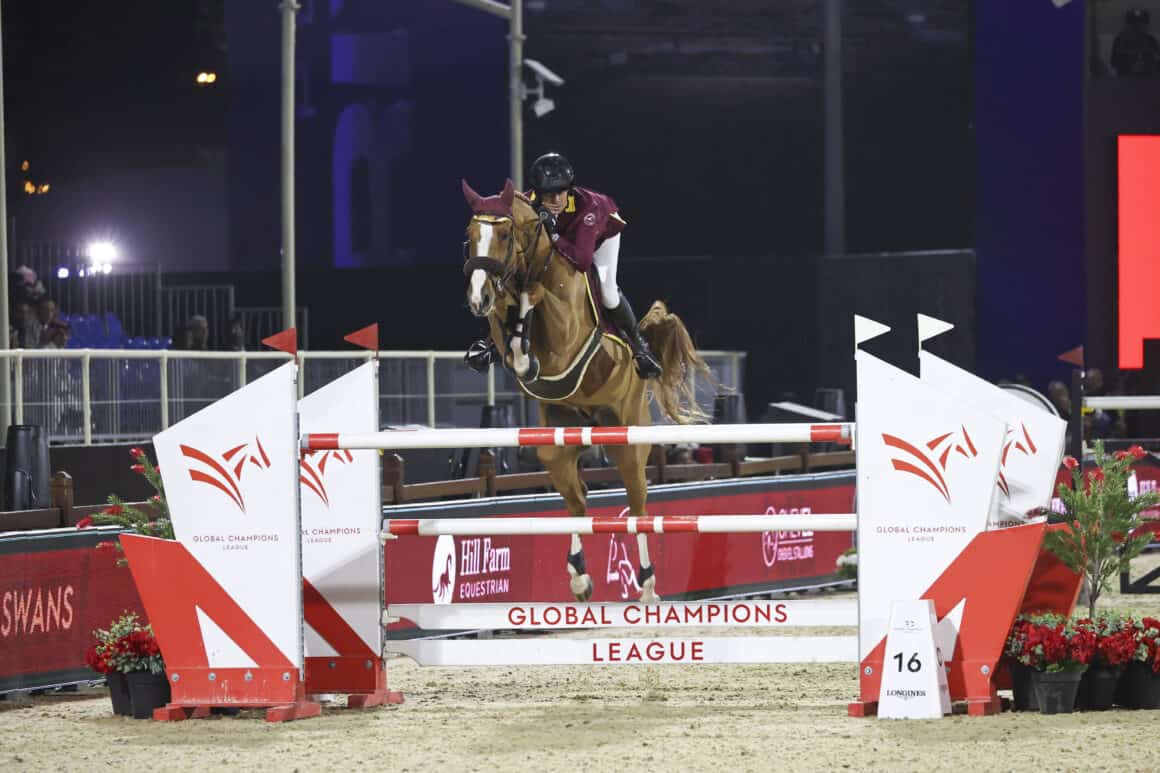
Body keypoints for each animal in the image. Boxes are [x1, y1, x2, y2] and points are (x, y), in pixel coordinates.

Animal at [459, 178, 709, 603]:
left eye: (505, 234)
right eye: (469, 235)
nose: (478, 298)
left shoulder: (565, 330)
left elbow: (534, 298)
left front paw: (525, 318)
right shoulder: (502, 315)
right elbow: (508, 326)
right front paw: (506, 338)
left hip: (628, 440)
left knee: (638, 506)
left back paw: (647, 585)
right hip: (557, 442)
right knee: (578, 502)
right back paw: (579, 576)